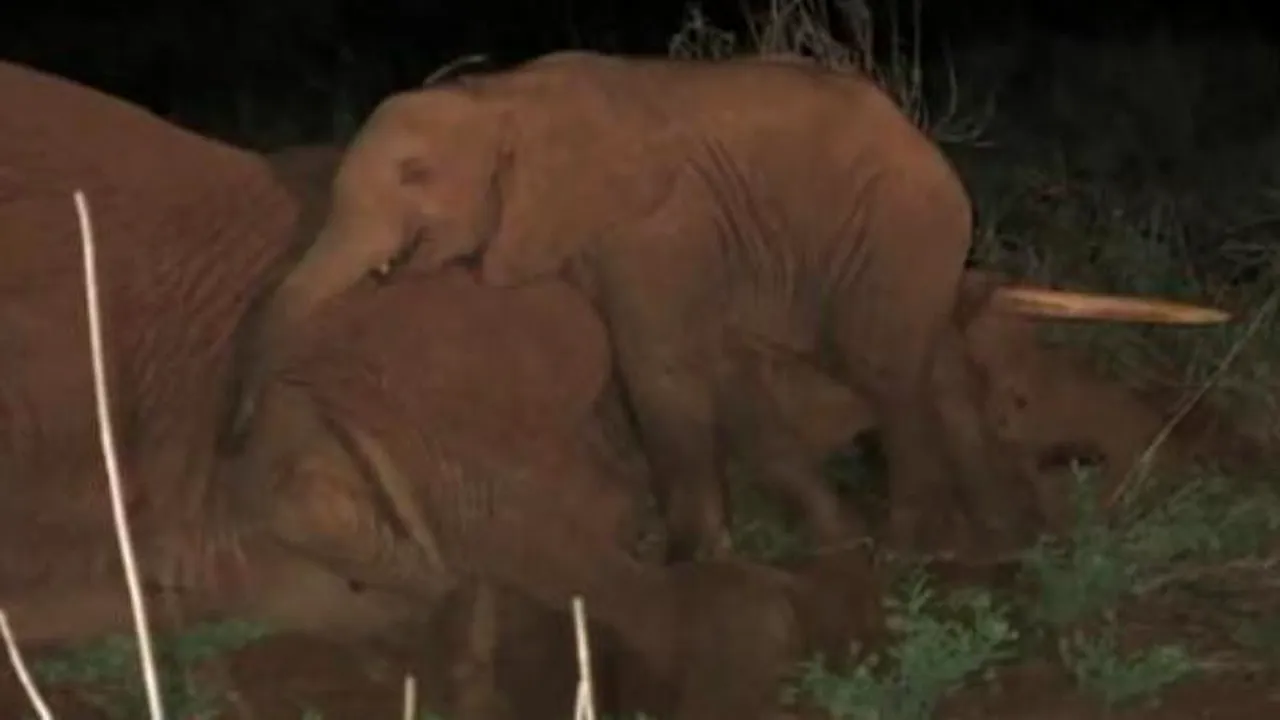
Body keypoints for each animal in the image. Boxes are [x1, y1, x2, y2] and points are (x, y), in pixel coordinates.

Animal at [226, 50, 1232, 562]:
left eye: (413, 175)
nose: (230, 434)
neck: (501, 95)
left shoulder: (657, 223)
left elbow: (662, 365)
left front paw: (694, 562)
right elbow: (718, 367)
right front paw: (824, 543)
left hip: (895, 226)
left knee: (886, 367)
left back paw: (919, 545)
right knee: (931, 362)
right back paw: (998, 538)